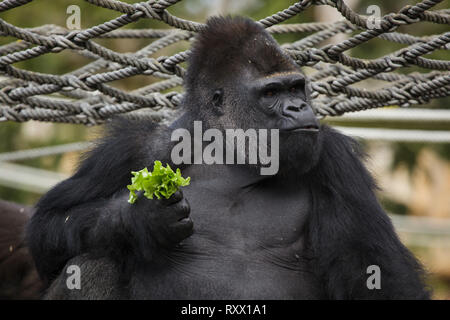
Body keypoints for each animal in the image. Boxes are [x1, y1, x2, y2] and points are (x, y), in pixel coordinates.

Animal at [26, 16, 430, 298]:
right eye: (272, 94)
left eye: (296, 88)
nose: (299, 107)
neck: (230, 152)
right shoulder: (134, 147)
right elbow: (47, 229)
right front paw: (139, 219)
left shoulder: (335, 161)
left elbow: (379, 276)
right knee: (91, 262)